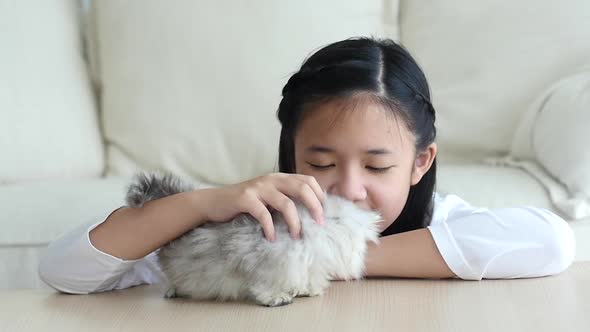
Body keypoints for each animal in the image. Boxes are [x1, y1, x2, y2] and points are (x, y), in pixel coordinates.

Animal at [126, 172, 384, 308]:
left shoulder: (304, 263)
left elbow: (306, 276)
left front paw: (307, 289)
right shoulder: (263, 260)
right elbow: (264, 285)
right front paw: (277, 298)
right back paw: (173, 291)